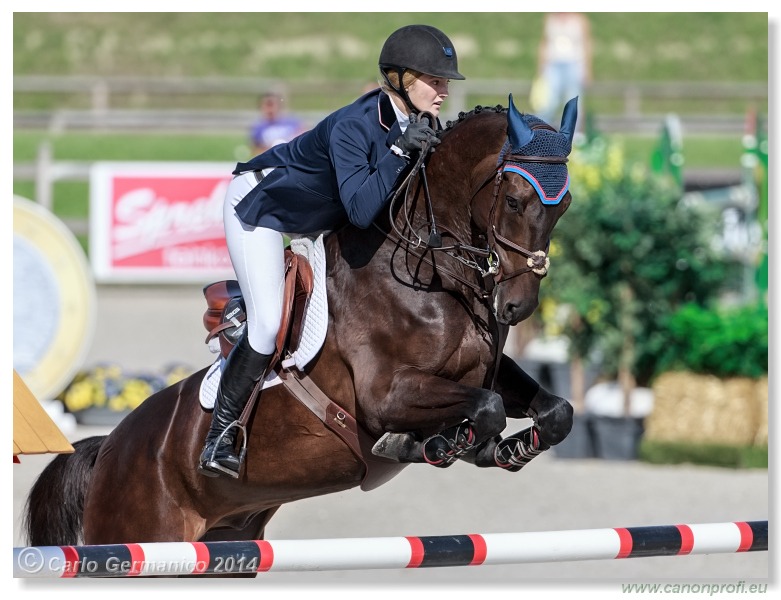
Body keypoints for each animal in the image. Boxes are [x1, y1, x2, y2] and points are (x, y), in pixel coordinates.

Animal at [24, 94, 576, 564]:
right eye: (514, 201)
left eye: (565, 206)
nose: (517, 307)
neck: (431, 272)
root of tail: (107, 448)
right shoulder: (385, 395)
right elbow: (485, 408)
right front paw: (434, 445)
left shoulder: (485, 369)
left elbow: (552, 412)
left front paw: (503, 448)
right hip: (138, 539)